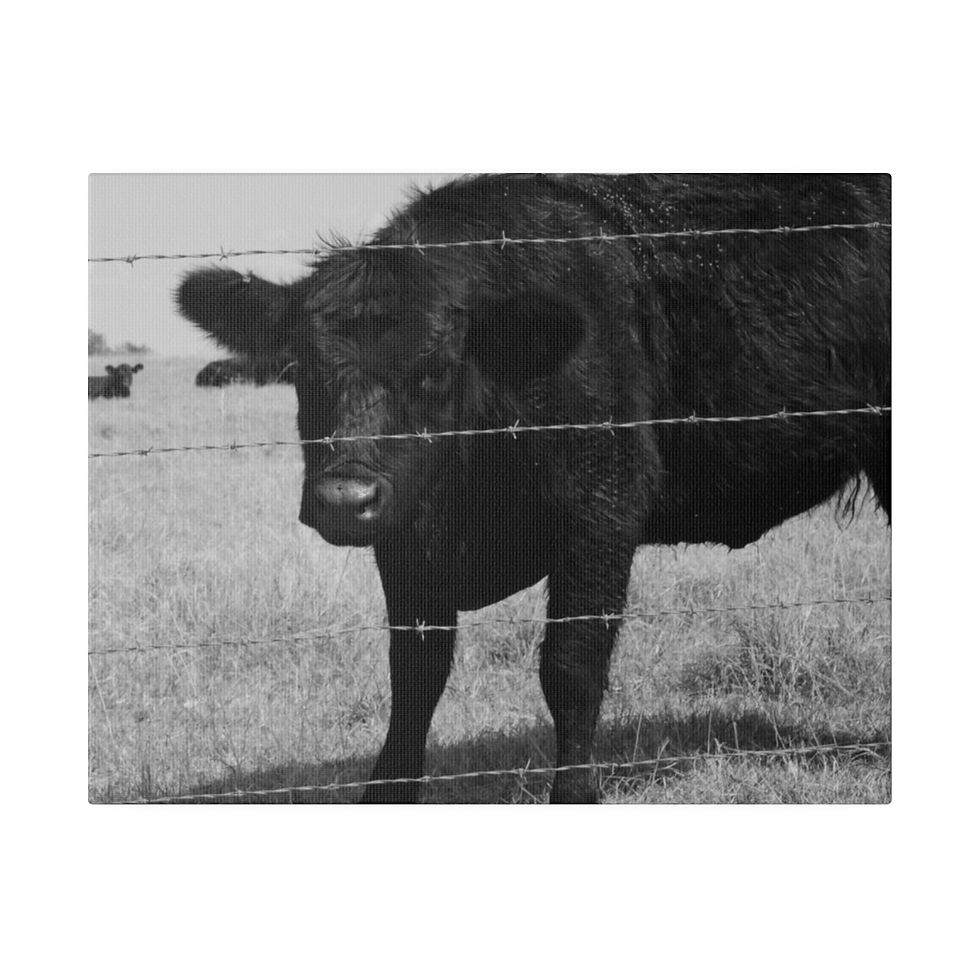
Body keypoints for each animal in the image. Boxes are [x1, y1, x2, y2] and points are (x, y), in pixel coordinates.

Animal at [177, 174, 891, 803]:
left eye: (436, 368)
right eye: (300, 367)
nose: (346, 500)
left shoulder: (602, 508)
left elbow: (571, 667)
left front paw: (574, 791)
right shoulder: (411, 535)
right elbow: (414, 674)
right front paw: (387, 792)